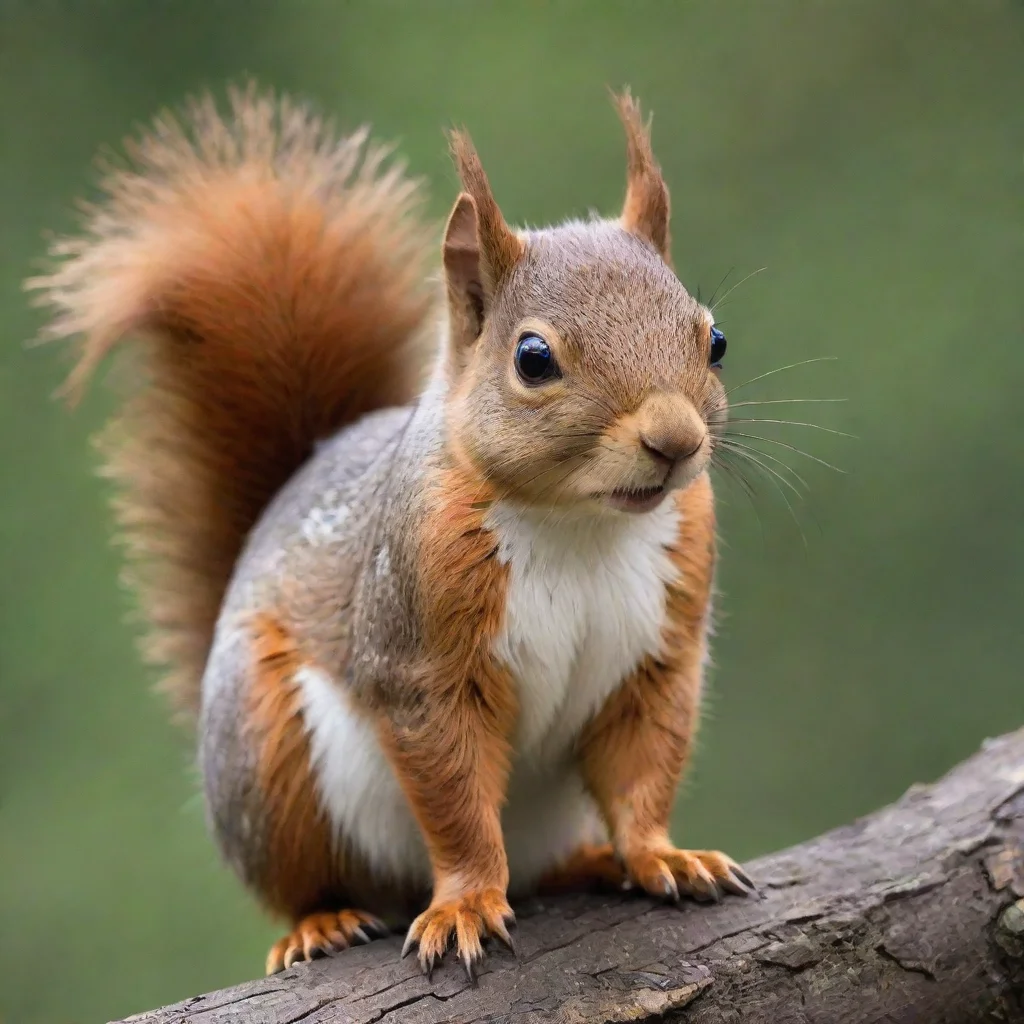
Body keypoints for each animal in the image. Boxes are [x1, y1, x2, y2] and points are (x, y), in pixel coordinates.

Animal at [27, 83, 753, 981]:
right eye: (534, 358)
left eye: (714, 338)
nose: (675, 440)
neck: (579, 524)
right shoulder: (421, 654)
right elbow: (456, 801)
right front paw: (467, 903)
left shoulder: (660, 653)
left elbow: (642, 768)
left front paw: (664, 856)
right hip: (267, 753)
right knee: (309, 879)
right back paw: (321, 922)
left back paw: (587, 861)